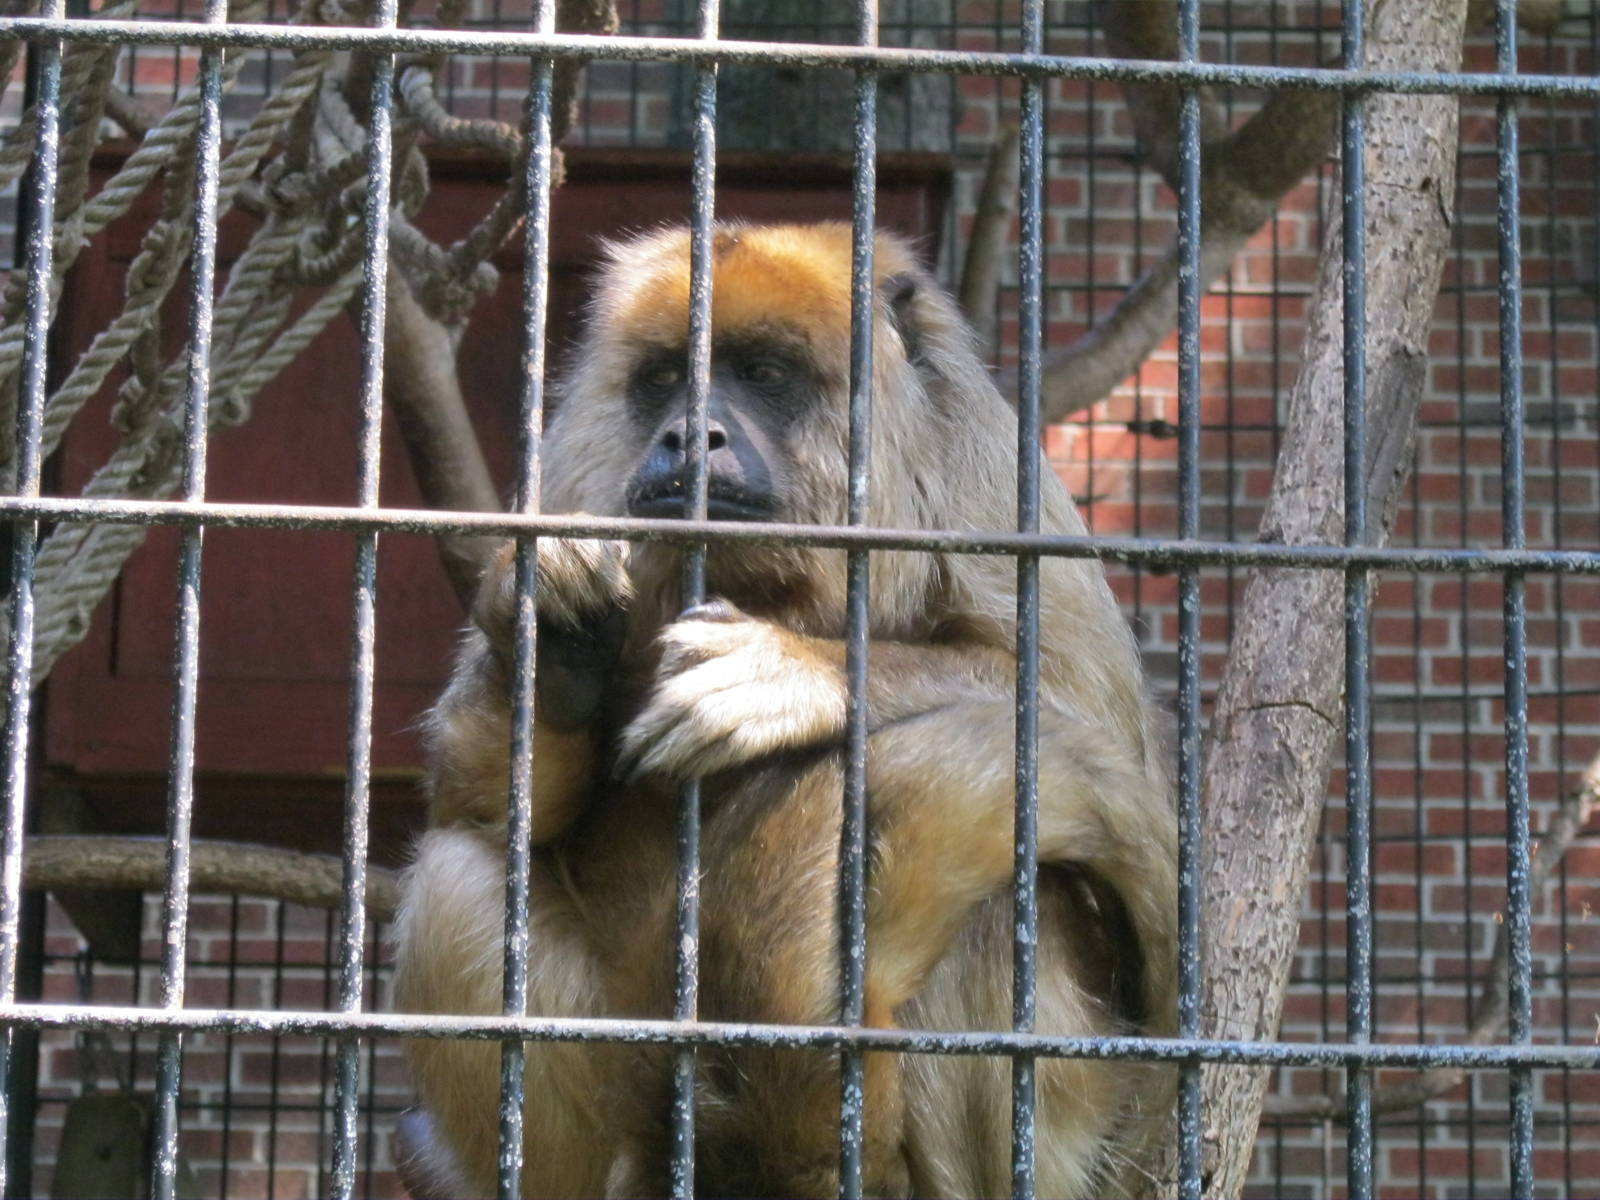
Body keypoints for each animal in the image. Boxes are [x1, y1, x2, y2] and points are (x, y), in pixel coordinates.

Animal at [391, 221, 1178, 1198]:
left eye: (762, 372)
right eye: (663, 379)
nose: (688, 433)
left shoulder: (989, 468)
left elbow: (1094, 714)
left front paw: (786, 674)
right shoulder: (576, 467)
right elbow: (476, 803)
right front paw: (546, 631)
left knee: (1002, 902)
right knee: (457, 879)